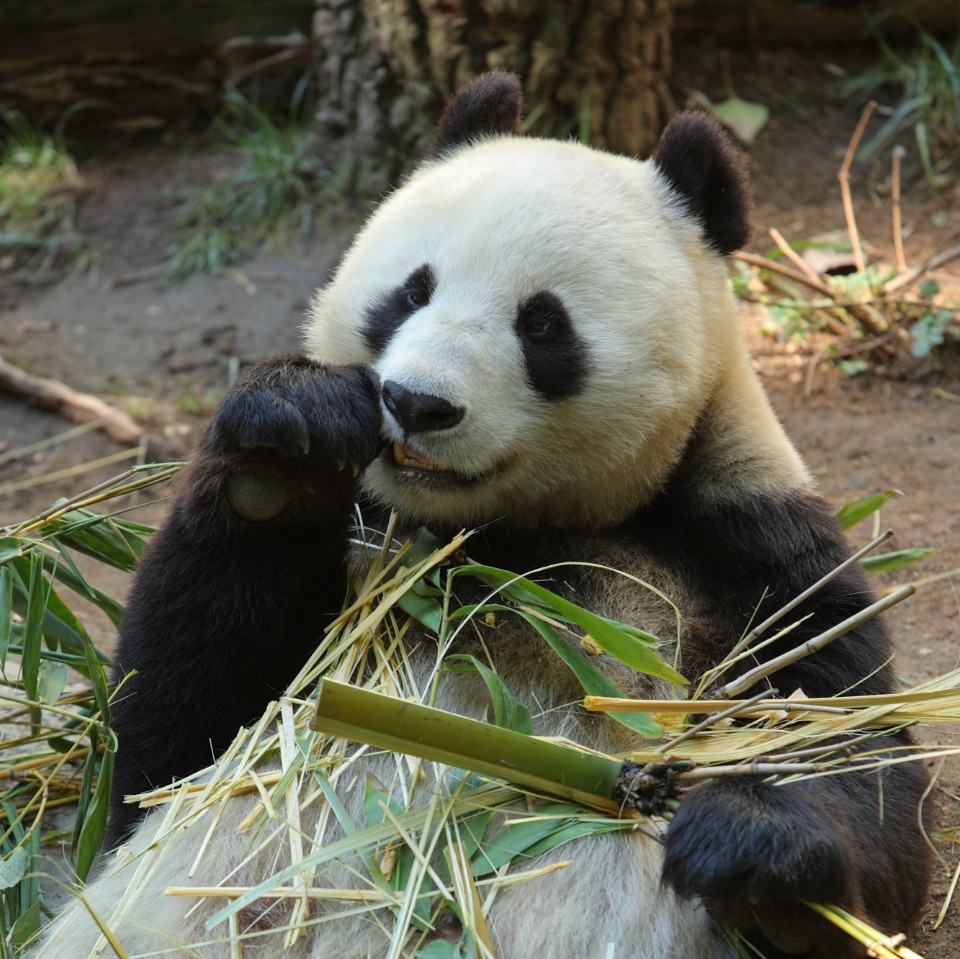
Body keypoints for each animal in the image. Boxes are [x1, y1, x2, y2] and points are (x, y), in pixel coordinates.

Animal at [35, 75, 928, 959]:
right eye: (411, 290)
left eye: (542, 323)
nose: (416, 403)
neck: (500, 532)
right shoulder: (361, 532)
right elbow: (160, 749)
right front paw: (282, 449)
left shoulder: (752, 546)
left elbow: (859, 760)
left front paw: (753, 850)